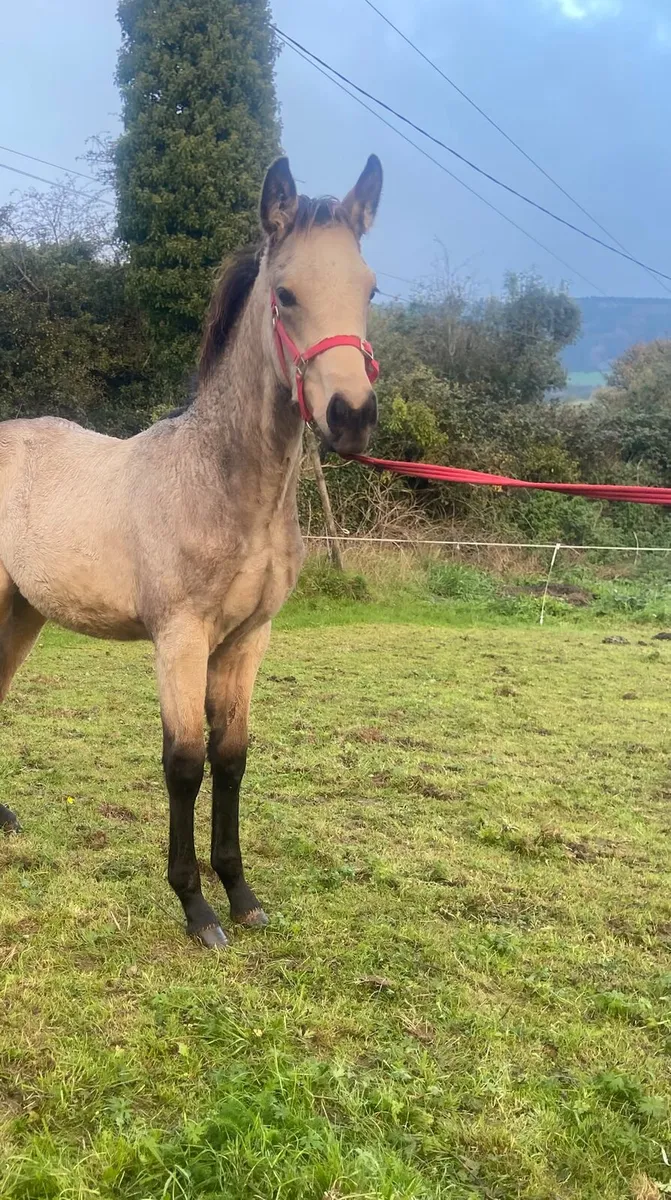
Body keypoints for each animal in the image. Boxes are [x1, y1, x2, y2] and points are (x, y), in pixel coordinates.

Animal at [0, 154, 383, 948]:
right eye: (286, 294)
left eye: (370, 289)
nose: (352, 418)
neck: (225, 485)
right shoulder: (180, 637)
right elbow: (183, 763)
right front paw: (196, 907)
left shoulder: (246, 639)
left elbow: (230, 758)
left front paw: (240, 893)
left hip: (25, 611)